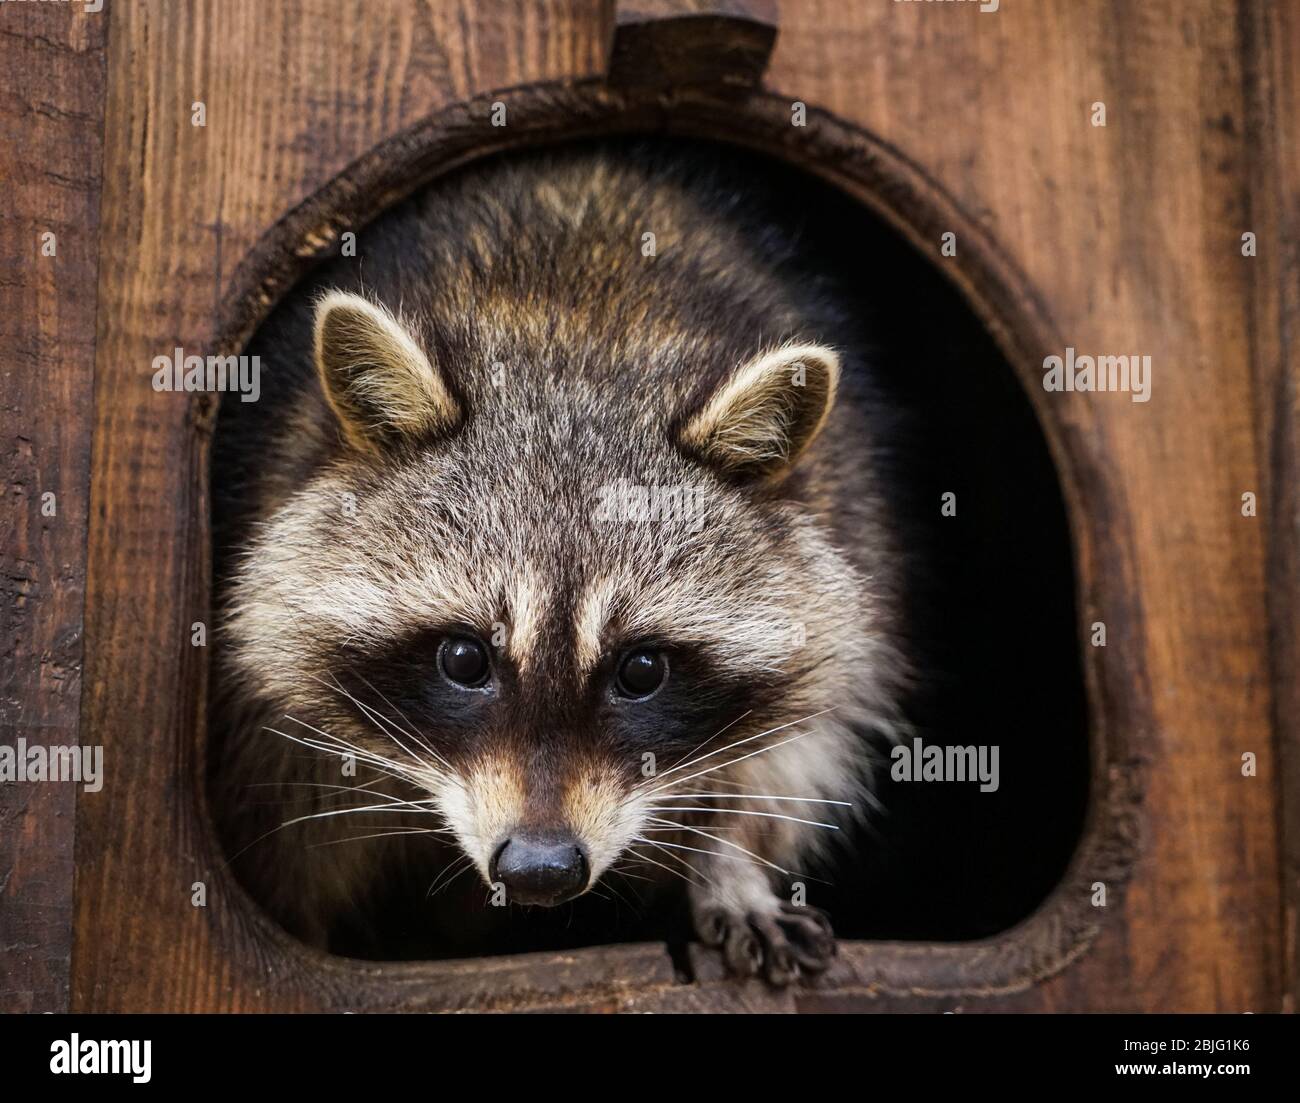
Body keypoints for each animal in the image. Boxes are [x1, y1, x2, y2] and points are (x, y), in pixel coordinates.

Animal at [210, 139, 904, 983]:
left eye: (642, 669)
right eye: (463, 658)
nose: (539, 869)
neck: (577, 347)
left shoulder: (843, 524)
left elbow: (793, 743)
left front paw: (732, 863)